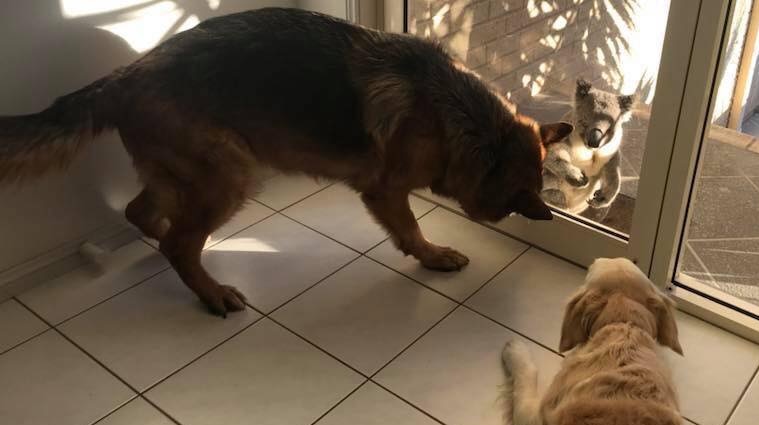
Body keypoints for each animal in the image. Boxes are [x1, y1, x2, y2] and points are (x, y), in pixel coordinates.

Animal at [0, 8, 568, 316]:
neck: (468, 122)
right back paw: (211, 292)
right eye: (513, 201)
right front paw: (433, 255)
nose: (537, 214)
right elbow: (409, 230)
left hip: (187, 173)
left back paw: (169, 246)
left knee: (147, 219)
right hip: (230, 174)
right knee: (179, 242)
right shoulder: (385, 191)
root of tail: (125, 75)